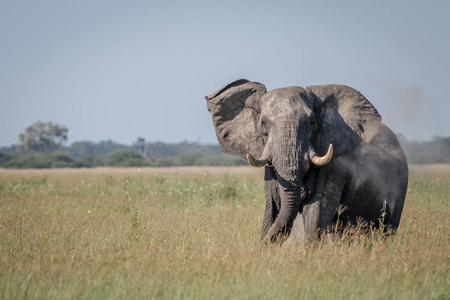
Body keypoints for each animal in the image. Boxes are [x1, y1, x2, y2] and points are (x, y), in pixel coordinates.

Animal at [206, 78, 410, 243]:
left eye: (312, 122)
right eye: (263, 124)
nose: (259, 244)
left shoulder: (334, 167)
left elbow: (315, 212)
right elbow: (274, 209)